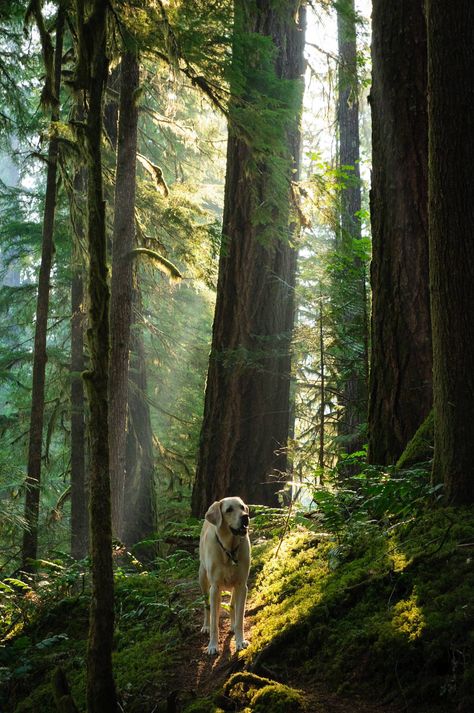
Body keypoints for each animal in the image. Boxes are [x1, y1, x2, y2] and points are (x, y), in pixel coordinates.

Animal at [198, 496, 252, 656]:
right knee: (207, 607)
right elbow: (214, 621)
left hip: (234, 585)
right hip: (203, 578)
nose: (245, 517)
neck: (229, 549)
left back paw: (232, 625)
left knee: (232, 604)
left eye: (242, 507)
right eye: (229, 510)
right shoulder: (215, 588)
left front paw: (240, 641)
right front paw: (212, 645)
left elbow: (240, 618)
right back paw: (206, 626)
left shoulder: (242, 585)